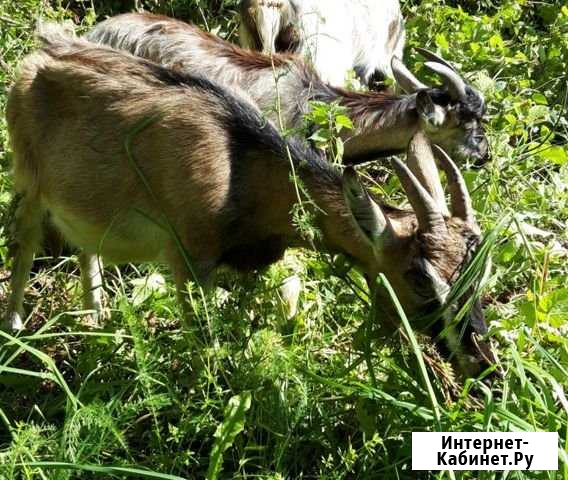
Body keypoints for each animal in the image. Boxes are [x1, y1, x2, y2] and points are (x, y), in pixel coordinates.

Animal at [4, 28, 496, 378]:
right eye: (420, 277)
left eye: (481, 271)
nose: (482, 363)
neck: (243, 164)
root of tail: (43, 52)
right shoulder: (190, 259)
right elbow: (205, 345)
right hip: (29, 178)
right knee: (24, 240)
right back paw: (15, 329)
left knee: (85, 245)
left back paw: (97, 321)